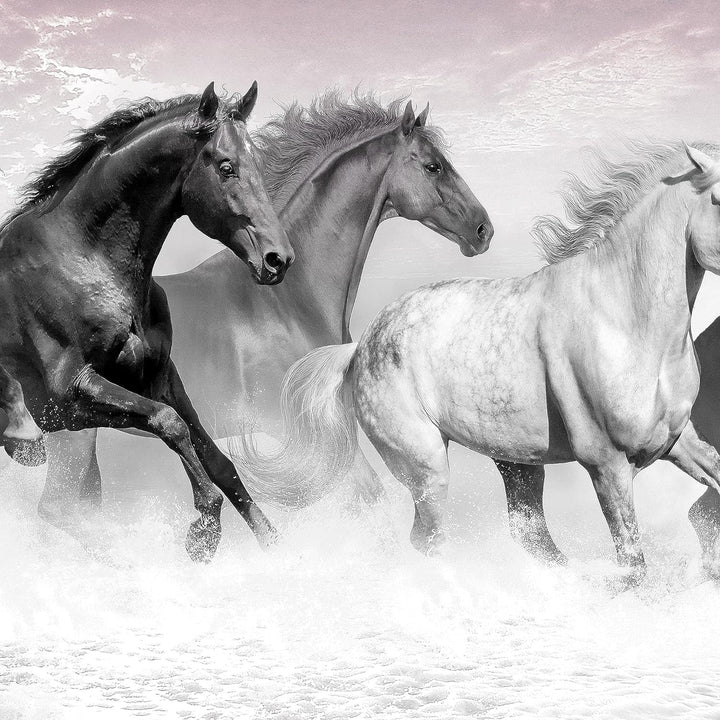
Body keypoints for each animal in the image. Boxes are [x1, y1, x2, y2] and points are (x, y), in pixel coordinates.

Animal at [0, 81, 294, 562]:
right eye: (227, 167)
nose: (278, 259)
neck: (84, 260)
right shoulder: (68, 400)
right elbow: (169, 424)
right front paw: (204, 530)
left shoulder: (157, 378)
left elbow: (215, 457)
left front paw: (273, 543)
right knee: (60, 510)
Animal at [40, 91, 493, 528]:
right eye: (434, 167)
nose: (483, 229)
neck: (287, 302)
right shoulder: (315, 438)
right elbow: (370, 501)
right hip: (71, 437)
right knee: (59, 510)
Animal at [238, 141, 720, 580]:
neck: (623, 317)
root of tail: (358, 350)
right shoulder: (607, 464)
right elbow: (634, 567)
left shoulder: (678, 443)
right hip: (428, 469)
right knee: (429, 541)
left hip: (518, 464)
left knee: (532, 538)